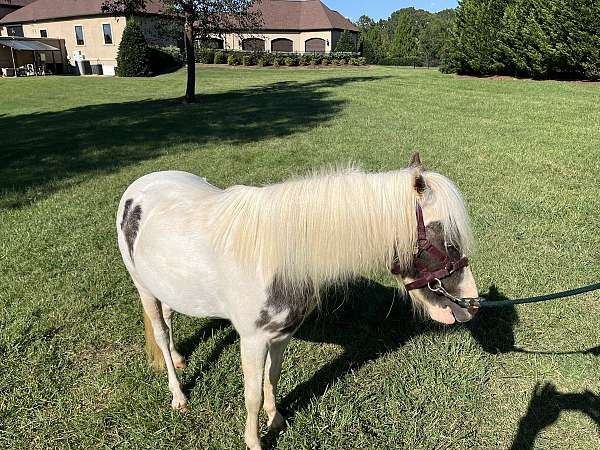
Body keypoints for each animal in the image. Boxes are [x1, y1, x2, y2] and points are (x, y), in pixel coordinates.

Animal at [117, 153, 478, 448]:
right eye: (446, 238)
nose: (470, 304)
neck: (275, 255)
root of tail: (139, 186)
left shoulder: (281, 334)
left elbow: (272, 377)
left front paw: (276, 419)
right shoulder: (252, 339)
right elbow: (251, 393)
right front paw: (254, 441)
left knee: (169, 317)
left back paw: (180, 359)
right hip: (142, 287)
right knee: (160, 333)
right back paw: (178, 394)